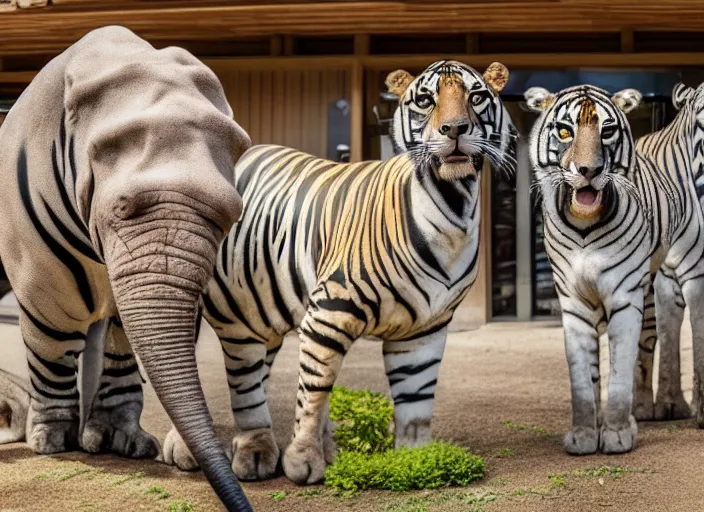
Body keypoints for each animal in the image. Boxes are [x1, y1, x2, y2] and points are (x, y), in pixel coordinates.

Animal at [164, 60, 516, 484]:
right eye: (426, 100)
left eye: (476, 97)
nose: (454, 129)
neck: (454, 204)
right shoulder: (329, 312)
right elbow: (314, 392)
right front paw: (303, 460)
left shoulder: (424, 330)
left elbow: (415, 402)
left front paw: (415, 461)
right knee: (207, 371)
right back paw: (211, 451)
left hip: (260, 307)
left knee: (254, 371)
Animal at [524, 85, 704, 456]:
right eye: (565, 131)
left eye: (607, 131)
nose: (588, 170)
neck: (584, 226)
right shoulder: (575, 301)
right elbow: (583, 374)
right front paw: (584, 433)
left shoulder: (629, 293)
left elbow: (621, 366)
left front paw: (617, 432)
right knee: (655, 333)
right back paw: (655, 406)